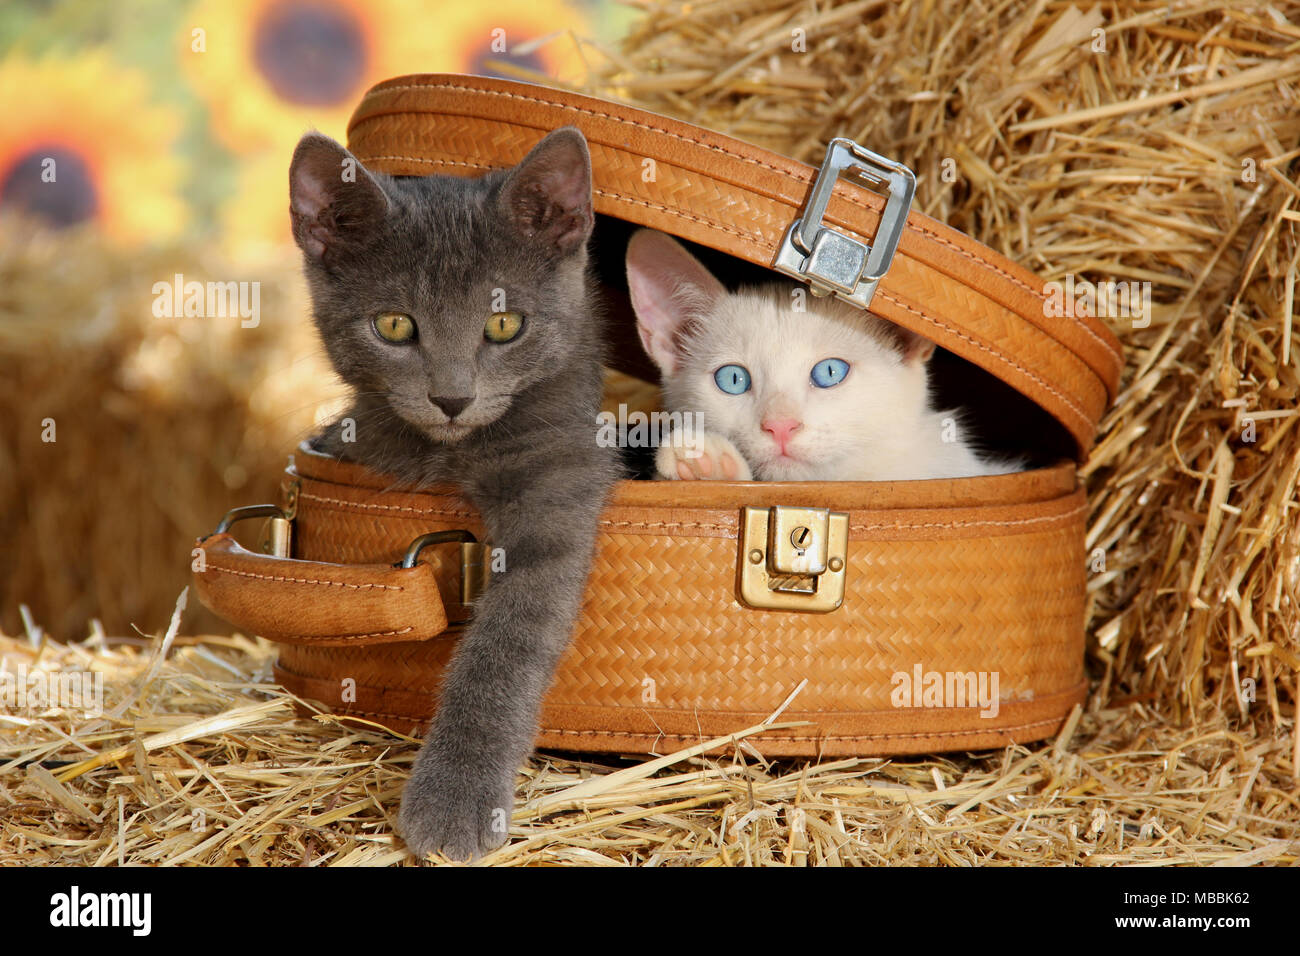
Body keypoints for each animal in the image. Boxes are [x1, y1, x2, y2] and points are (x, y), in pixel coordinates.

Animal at [288, 123, 618, 863]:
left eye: (503, 326)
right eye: (393, 326)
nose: (451, 397)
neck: (451, 451)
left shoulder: (558, 481)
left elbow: (506, 645)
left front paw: (456, 798)